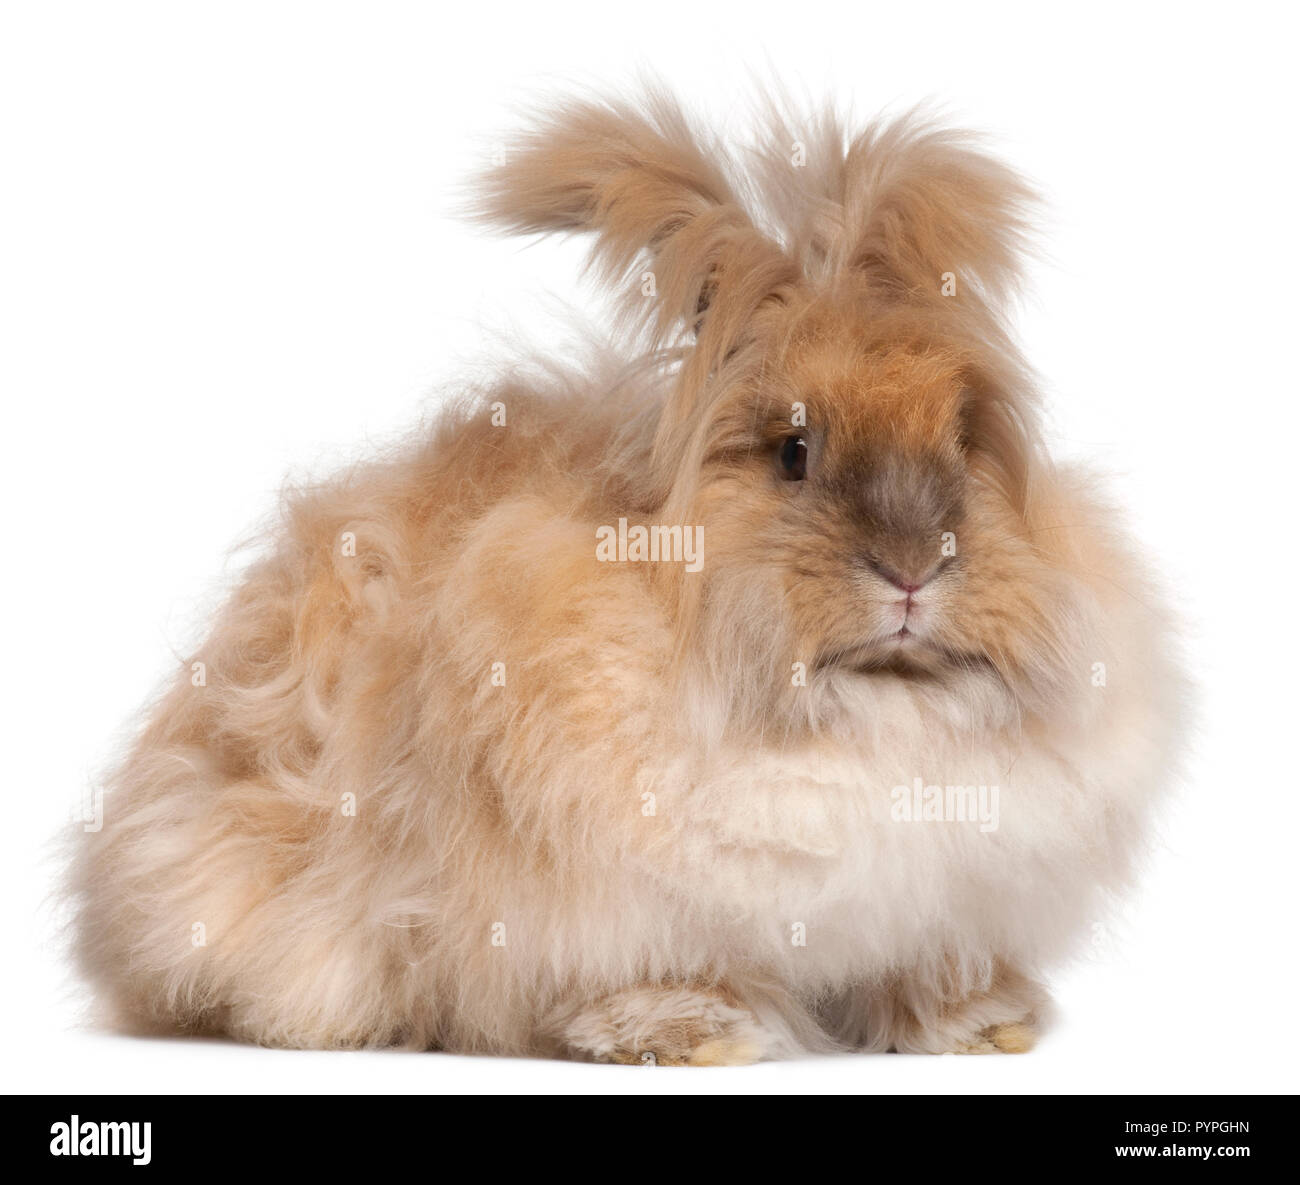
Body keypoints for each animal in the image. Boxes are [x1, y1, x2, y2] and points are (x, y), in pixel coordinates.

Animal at [70, 86, 1185, 1064]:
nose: (912, 567)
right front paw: (698, 1035)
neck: (870, 722)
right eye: (794, 452)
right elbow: (637, 969)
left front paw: (980, 1025)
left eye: (961, 440)